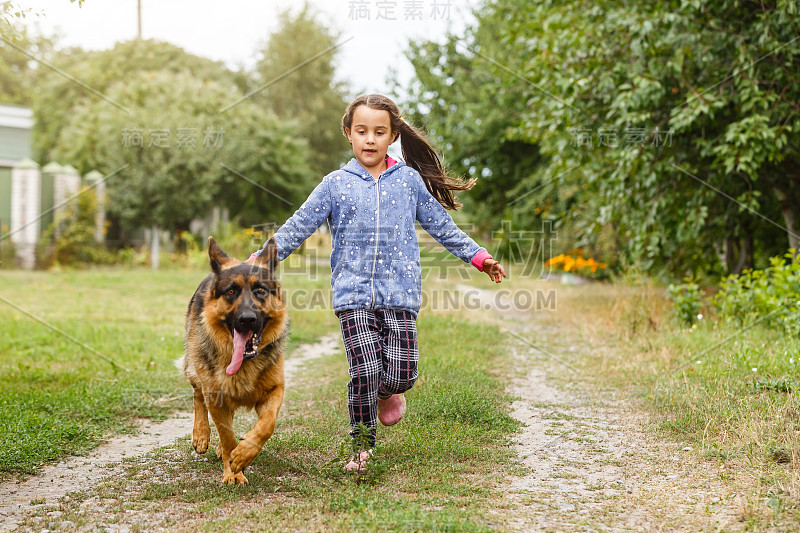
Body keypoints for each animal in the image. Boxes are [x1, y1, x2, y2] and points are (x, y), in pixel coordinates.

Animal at [177, 235, 290, 484]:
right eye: (230, 292)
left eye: (260, 290)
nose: (247, 319)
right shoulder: (216, 396)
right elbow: (227, 435)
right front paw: (233, 471)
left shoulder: (275, 390)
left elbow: (266, 425)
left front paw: (245, 452)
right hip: (196, 369)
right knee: (198, 395)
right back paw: (201, 434)